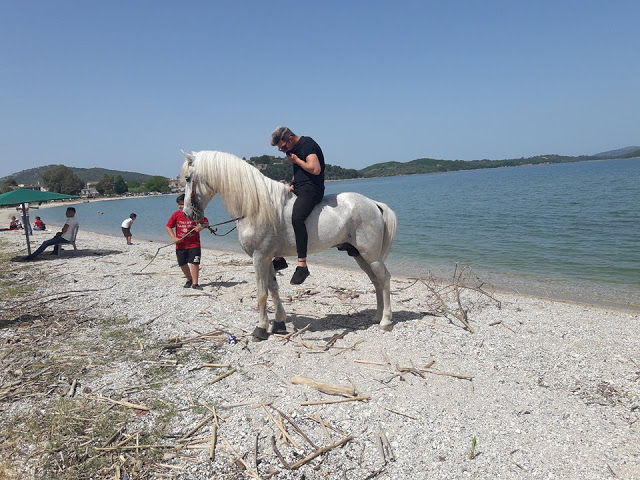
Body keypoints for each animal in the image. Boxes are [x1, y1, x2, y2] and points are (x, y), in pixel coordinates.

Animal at [180, 151, 398, 342]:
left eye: (189, 178)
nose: (188, 214)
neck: (256, 208)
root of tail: (373, 203)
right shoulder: (267, 258)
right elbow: (273, 289)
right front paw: (278, 323)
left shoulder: (259, 257)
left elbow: (262, 293)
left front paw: (261, 328)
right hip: (360, 255)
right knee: (376, 281)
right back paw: (377, 316)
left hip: (371, 256)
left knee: (384, 279)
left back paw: (386, 321)